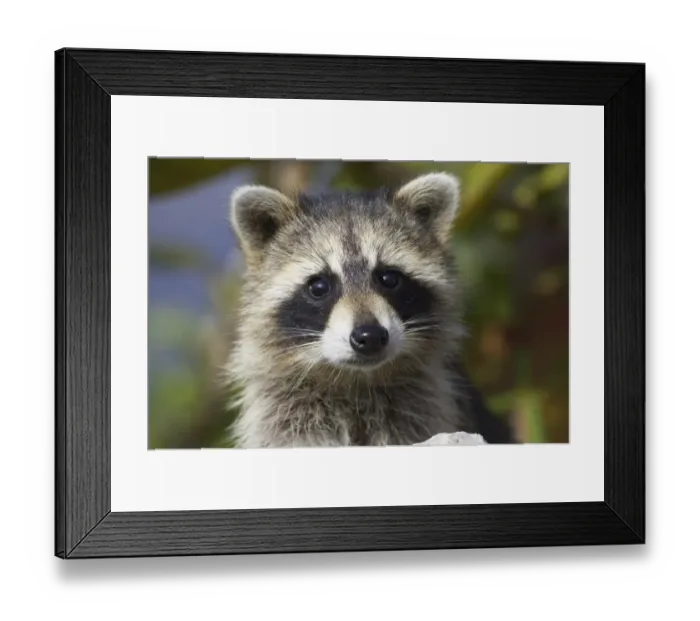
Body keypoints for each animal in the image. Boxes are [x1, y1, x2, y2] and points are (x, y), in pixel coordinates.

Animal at [225, 172, 514, 448]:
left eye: (389, 278)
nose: (370, 336)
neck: (355, 380)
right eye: (319, 286)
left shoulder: (426, 406)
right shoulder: (285, 413)